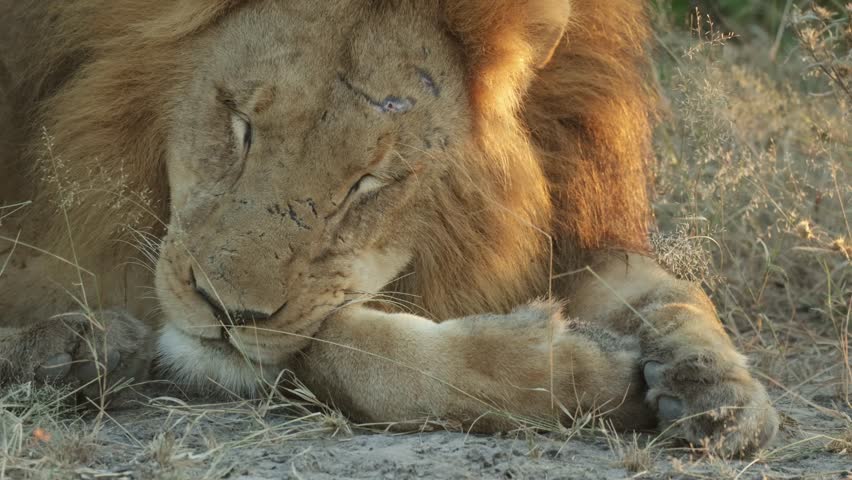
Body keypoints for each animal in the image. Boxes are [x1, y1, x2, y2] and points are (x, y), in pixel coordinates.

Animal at [0, 0, 778, 455]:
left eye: (369, 183)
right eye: (239, 123)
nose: (225, 311)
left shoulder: (571, 216)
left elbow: (667, 291)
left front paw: (717, 388)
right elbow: (352, 352)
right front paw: (580, 373)